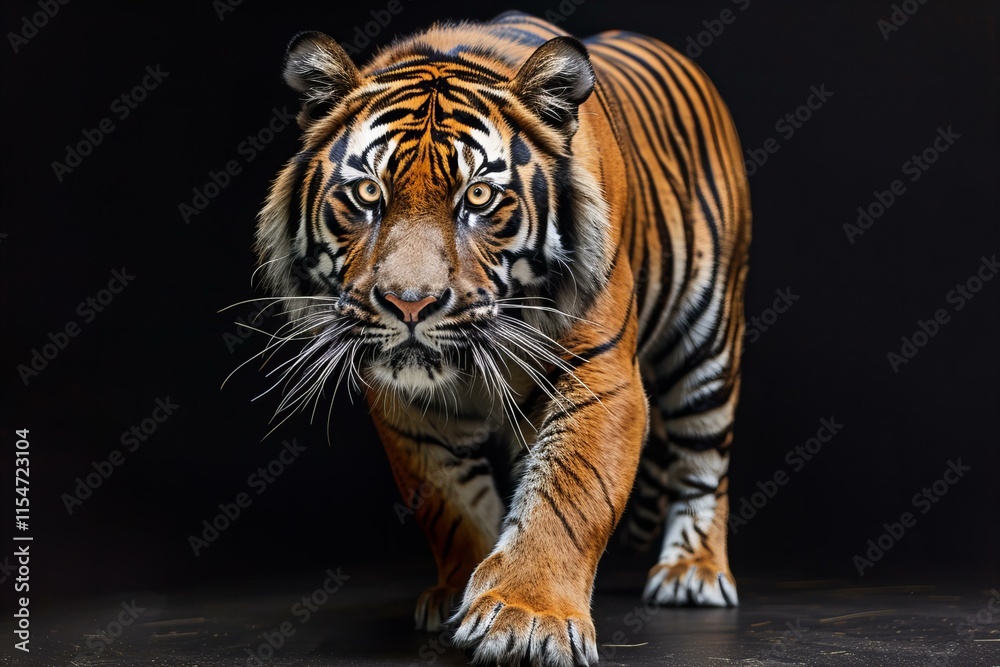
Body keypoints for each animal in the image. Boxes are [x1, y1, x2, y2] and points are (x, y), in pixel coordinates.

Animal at [253, 10, 750, 666]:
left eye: (479, 197)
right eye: (367, 194)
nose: (410, 303)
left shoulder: (601, 377)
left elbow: (567, 496)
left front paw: (526, 616)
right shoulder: (408, 407)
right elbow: (451, 503)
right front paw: (459, 592)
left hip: (707, 338)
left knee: (704, 458)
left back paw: (692, 572)